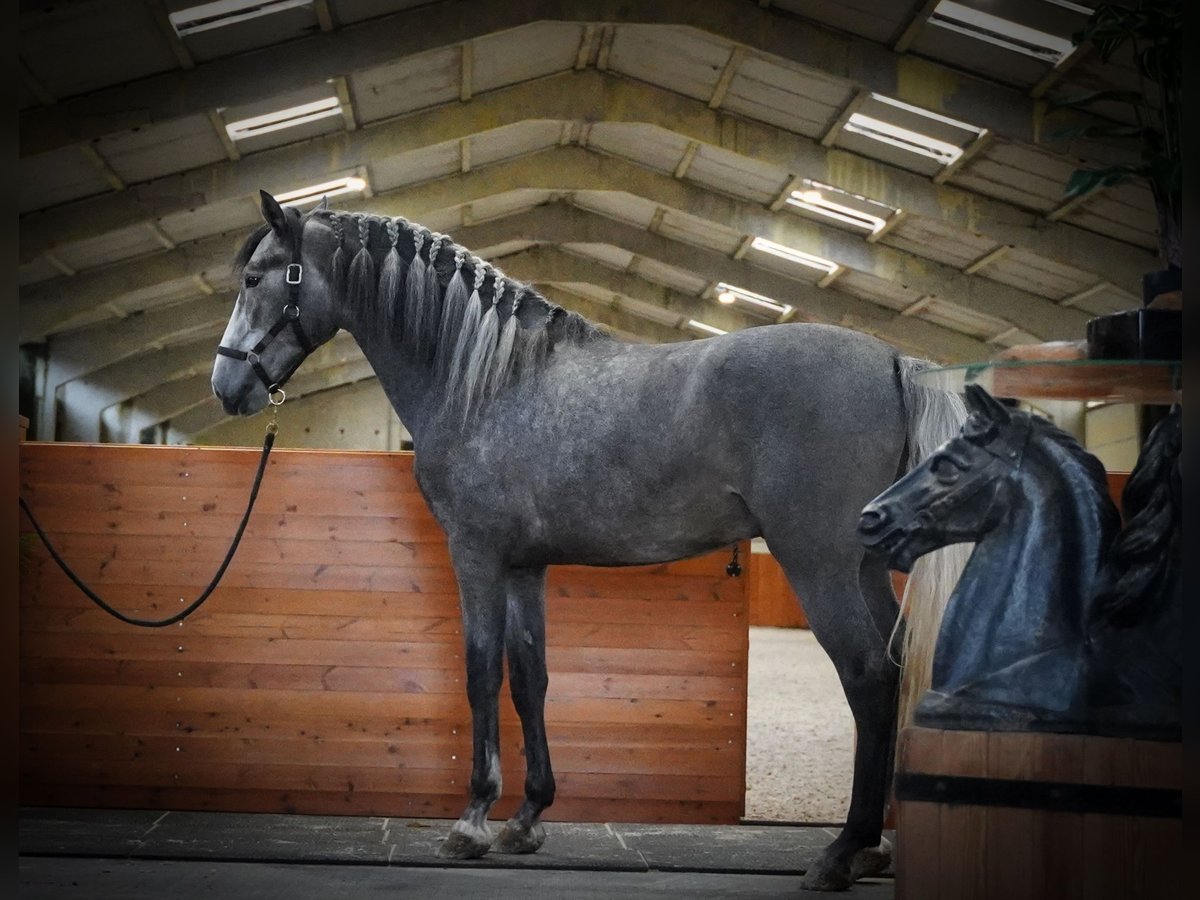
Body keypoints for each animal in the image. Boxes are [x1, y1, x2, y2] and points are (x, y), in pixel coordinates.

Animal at [213, 194, 964, 892]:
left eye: (255, 277)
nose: (226, 386)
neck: (489, 382)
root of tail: (894, 359)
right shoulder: (524, 568)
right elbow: (529, 678)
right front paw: (525, 819)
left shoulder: (477, 557)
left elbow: (480, 673)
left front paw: (471, 822)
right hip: (864, 566)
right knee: (893, 668)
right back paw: (871, 847)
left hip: (818, 562)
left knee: (868, 676)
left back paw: (843, 852)